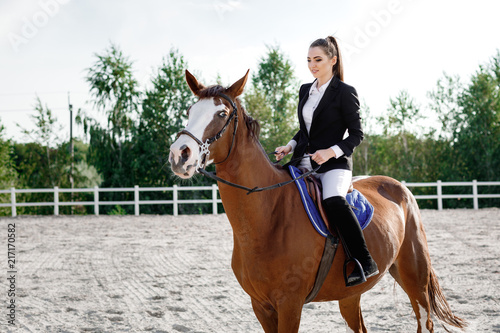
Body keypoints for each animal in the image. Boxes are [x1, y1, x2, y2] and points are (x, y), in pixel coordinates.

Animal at [170, 70, 466, 332]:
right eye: (189, 111)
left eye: (221, 113)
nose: (179, 154)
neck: (268, 216)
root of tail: (400, 187)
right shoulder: (261, 306)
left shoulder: (290, 305)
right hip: (351, 294)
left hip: (414, 278)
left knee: (424, 322)